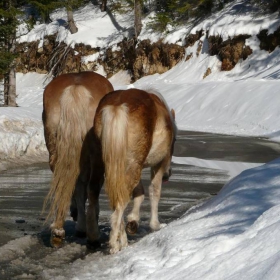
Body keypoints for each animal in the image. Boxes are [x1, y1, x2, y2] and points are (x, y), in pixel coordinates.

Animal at [41, 71, 114, 246]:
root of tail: (75, 88)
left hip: (55, 150)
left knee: (64, 181)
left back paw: (58, 231)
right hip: (96, 155)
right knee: (92, 186)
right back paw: (92, 235)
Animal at [86, 88, 176, 254]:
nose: (168, 174)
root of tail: (117, 106)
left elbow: (139, 192)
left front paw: (132, 222)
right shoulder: (158, 165)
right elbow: (154, 191)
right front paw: (153, 224)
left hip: (102, 162)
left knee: (97, 192)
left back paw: (99, 236)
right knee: (120, 201)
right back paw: (114, 243)